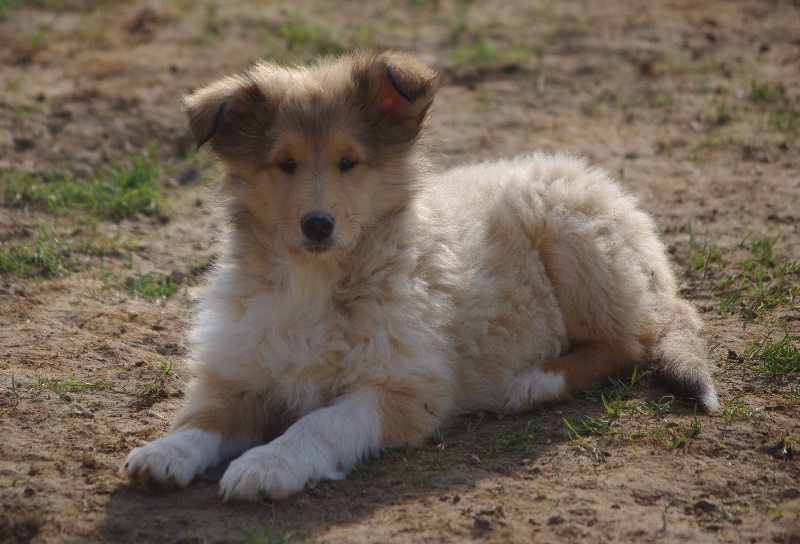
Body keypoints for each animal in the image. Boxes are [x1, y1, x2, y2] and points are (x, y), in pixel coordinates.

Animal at [125, 51, 720, 502]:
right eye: (284, 164)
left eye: (349, 162)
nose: (317, 225)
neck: (315, 281)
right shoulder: (243, 370)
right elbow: (202, 416)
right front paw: (165, 451)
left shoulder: (407, 388)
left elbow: (318, 423)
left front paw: (267, 464)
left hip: (572, 233)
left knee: (630, 342)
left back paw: (533, 382)